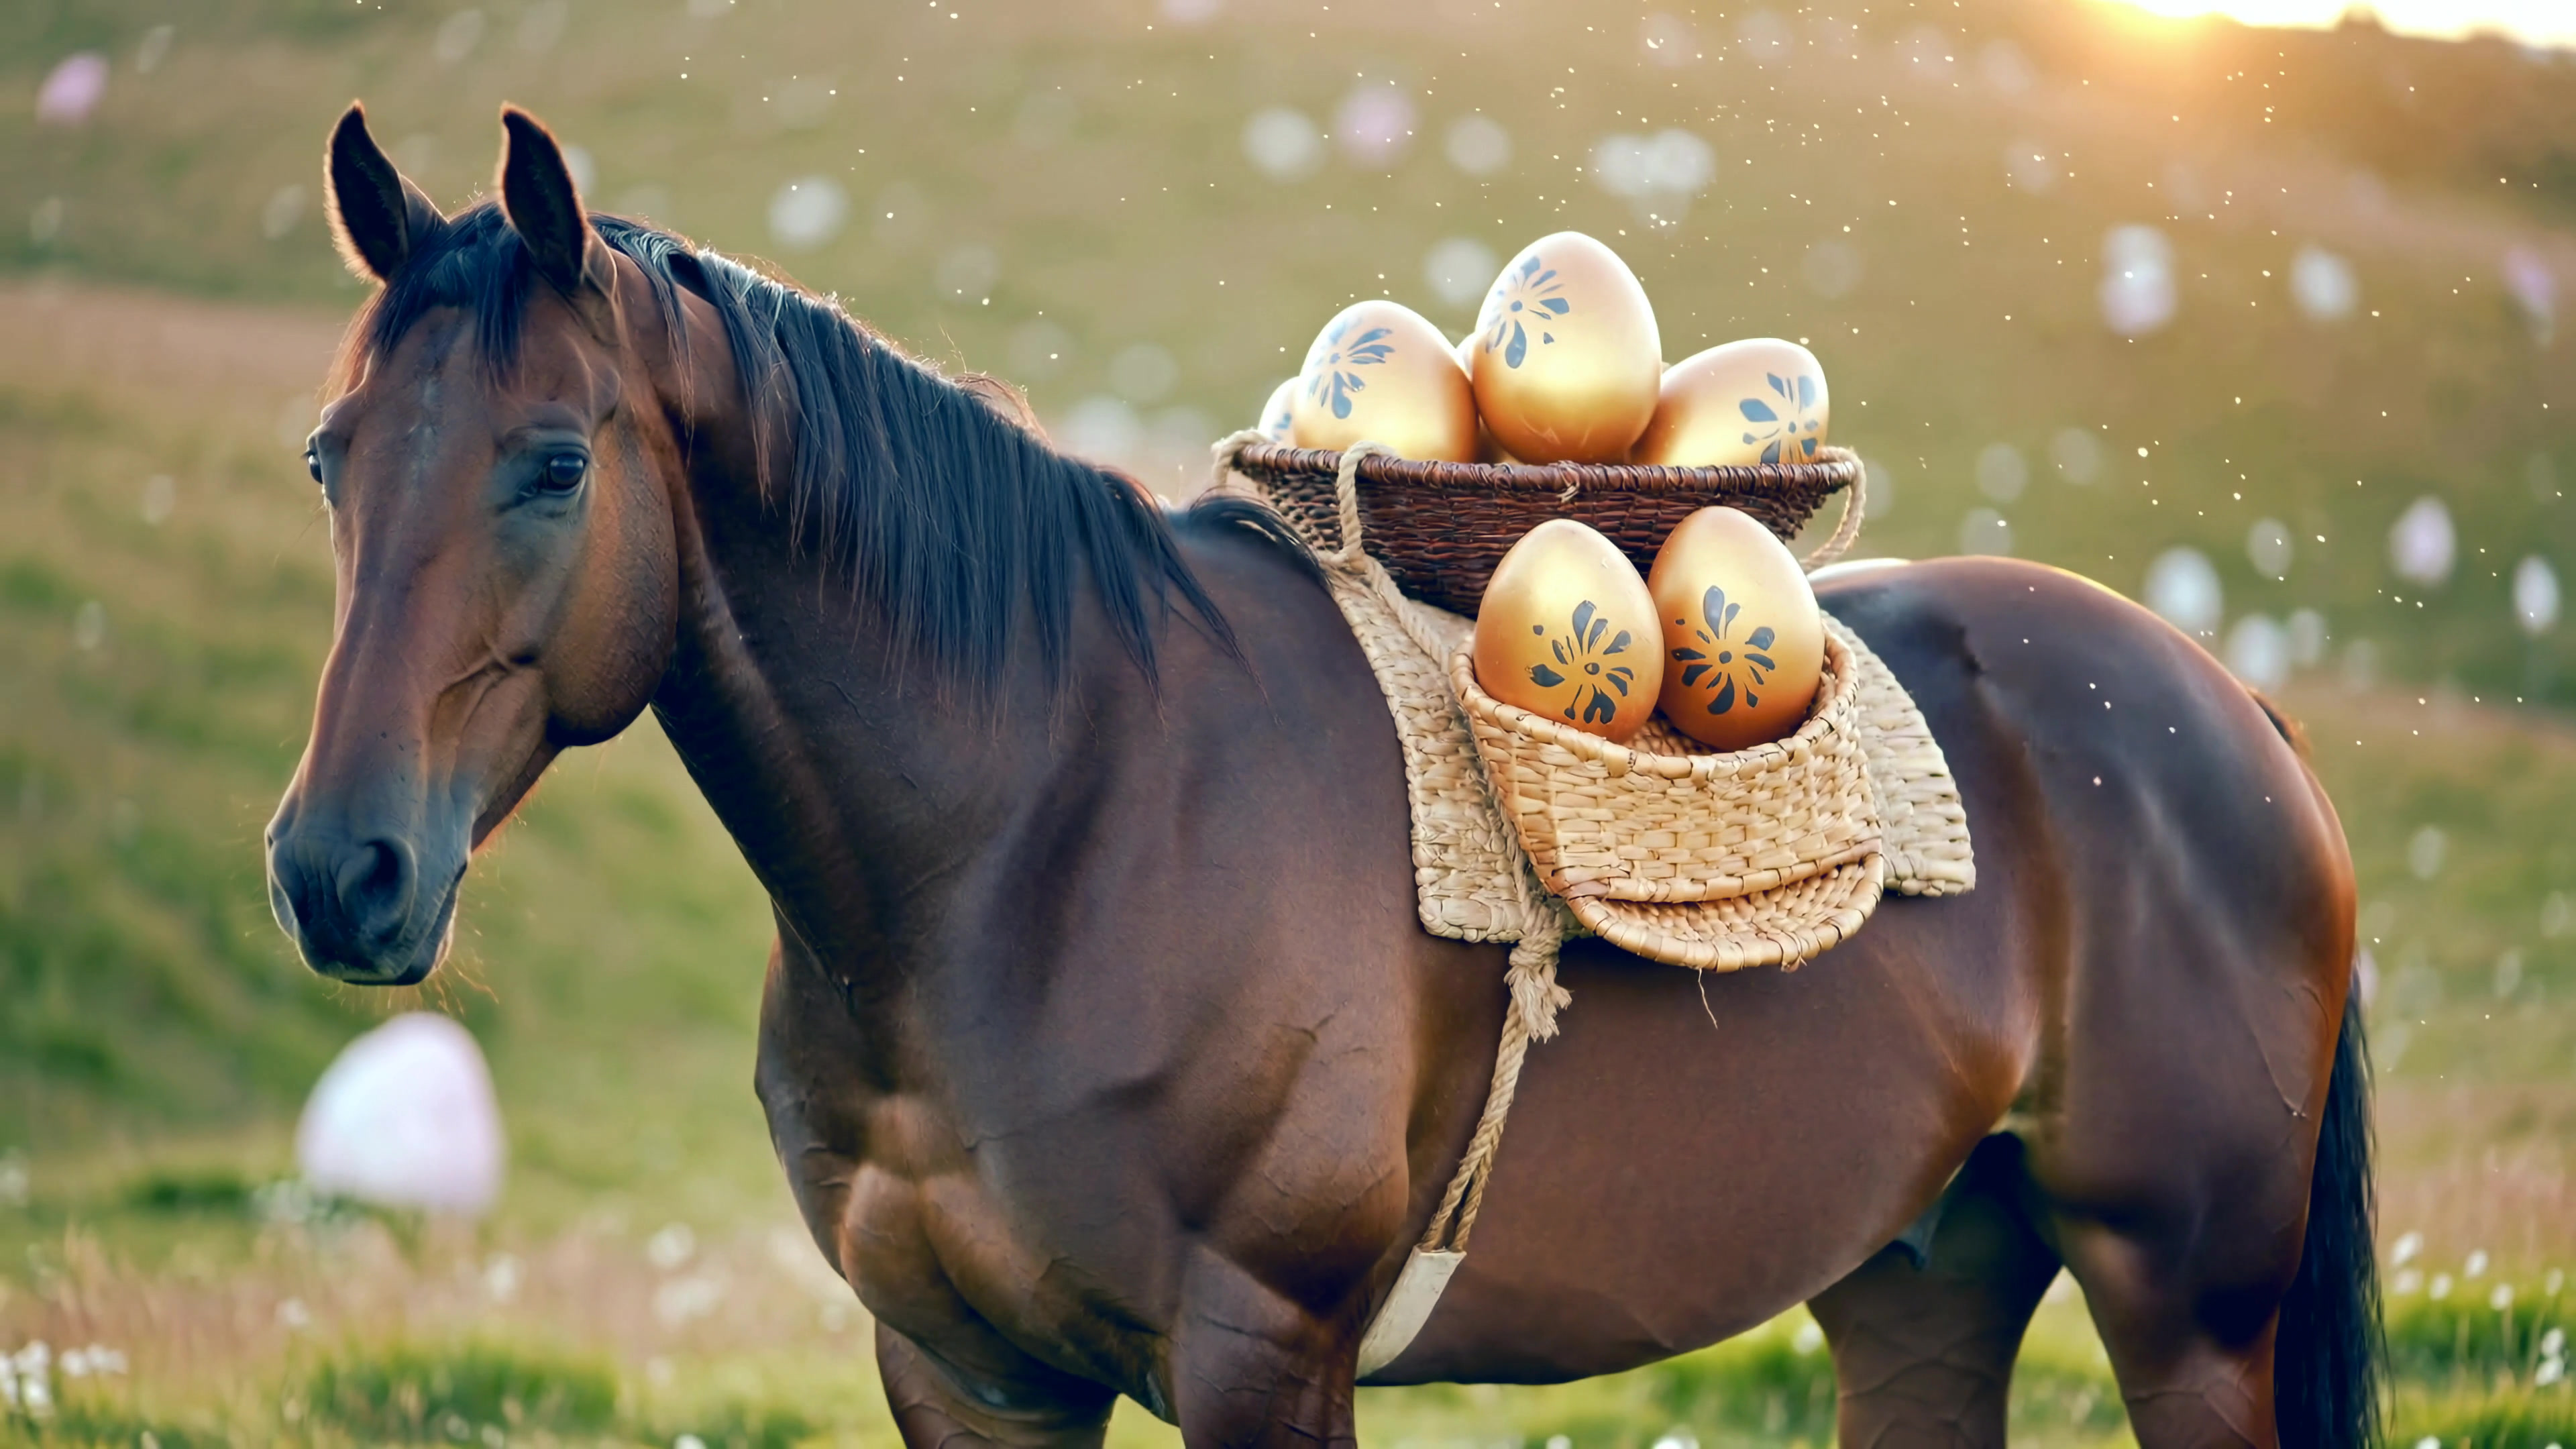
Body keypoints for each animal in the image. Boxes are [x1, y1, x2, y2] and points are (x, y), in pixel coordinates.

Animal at [265, 103, 2376, 1448]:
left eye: (554, 461)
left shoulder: (1261, 1358)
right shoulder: (964, 1374)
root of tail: (2228, 710)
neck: (1045, 833)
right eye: (329, 455)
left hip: (2186, 1305)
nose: (337, 869)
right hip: (1921, 1281)